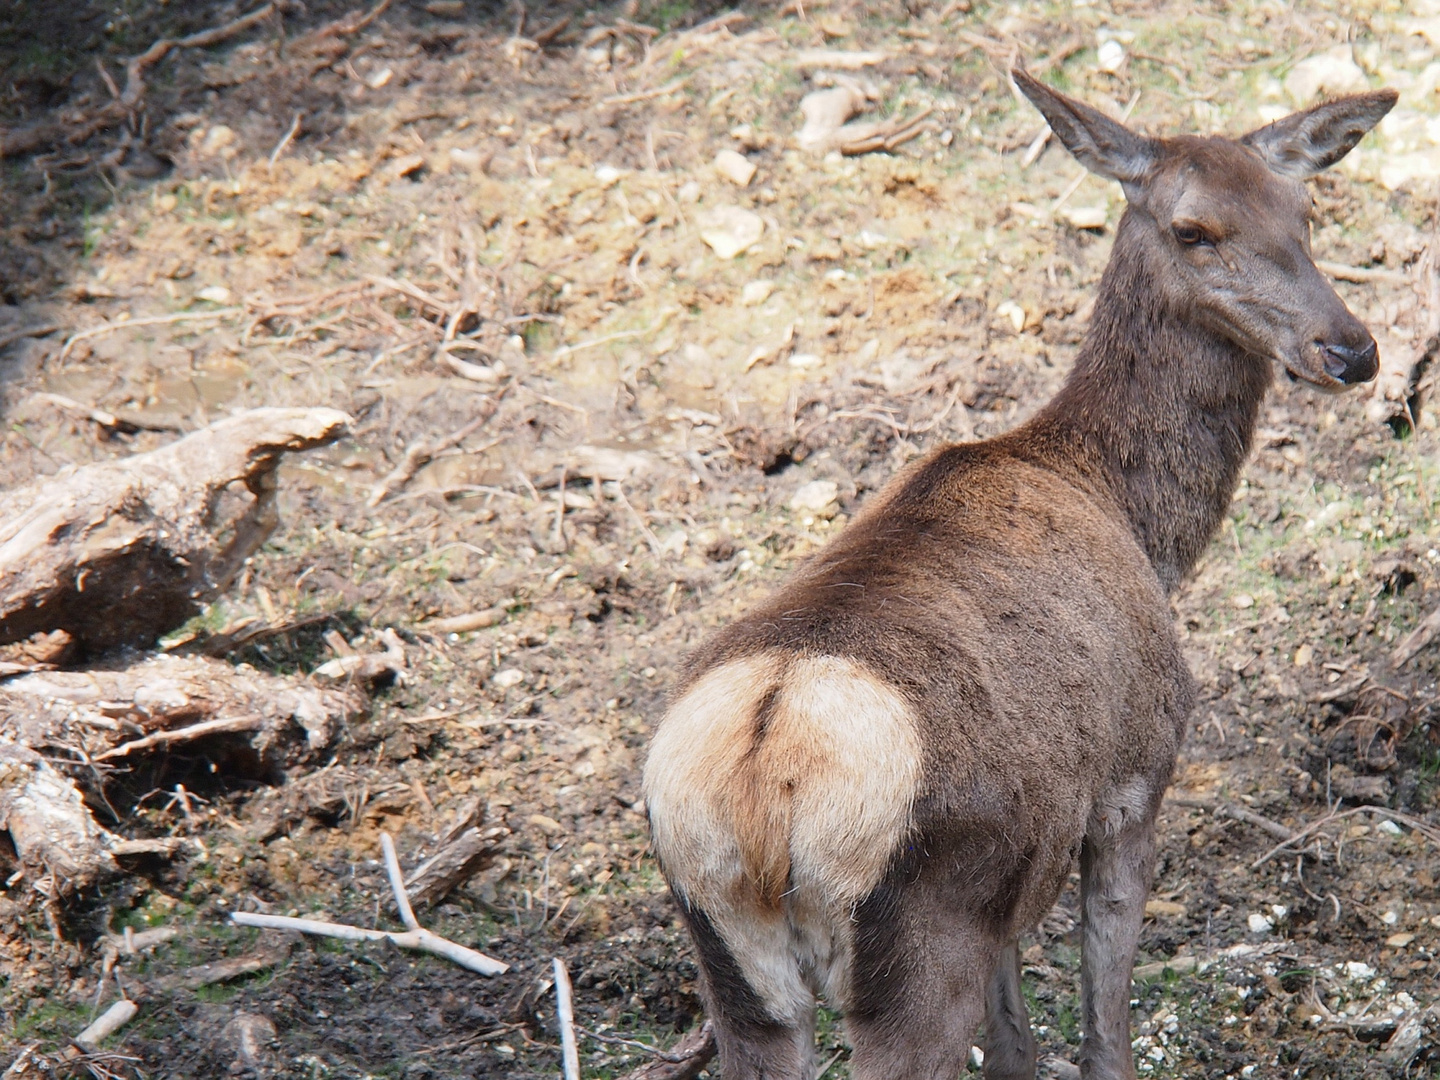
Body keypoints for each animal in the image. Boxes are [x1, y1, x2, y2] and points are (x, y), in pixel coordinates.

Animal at [642, 72, 1393, 1077]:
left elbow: (1014, 1042)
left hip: (737, 963)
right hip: (915, 950)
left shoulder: (1010, 876)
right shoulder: (1136, 776)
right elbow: (1105, 1025)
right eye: (1193, 230)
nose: (1351, 349)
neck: (1141, 525)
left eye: (1304, 211)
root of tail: (765, 785)